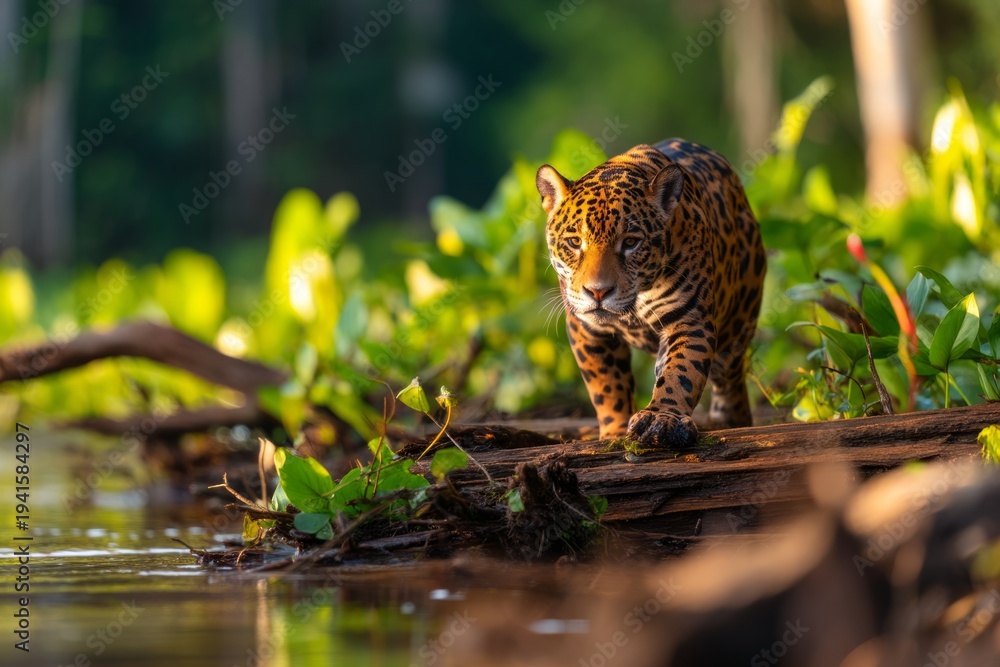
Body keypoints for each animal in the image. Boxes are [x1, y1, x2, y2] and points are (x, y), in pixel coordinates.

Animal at [536, 139, 766, 448]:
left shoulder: (689, 319)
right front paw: (614, 431)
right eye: (574, 242)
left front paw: (662, 418)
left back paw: (729, 418)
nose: (598, 292)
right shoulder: (586, 328)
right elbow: (607, 385)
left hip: (739, 318)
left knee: (728, 374)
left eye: (631, 242)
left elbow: (681, 372)